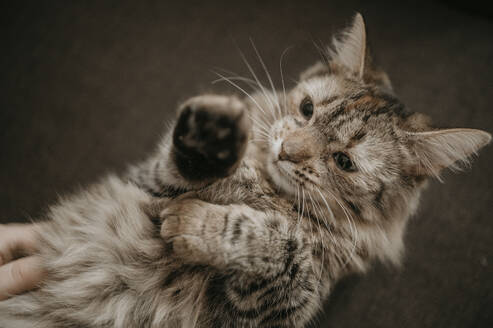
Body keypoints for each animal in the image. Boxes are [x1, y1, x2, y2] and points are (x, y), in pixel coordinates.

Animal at [0, 13, 488, 328]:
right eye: (306, 109)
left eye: (344, 162)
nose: (287, 150)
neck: (265, 190)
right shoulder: (146, 184)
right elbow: (183, 168)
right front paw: (213, 139)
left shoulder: (266, 309)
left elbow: (284, 246)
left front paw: (195, 225)